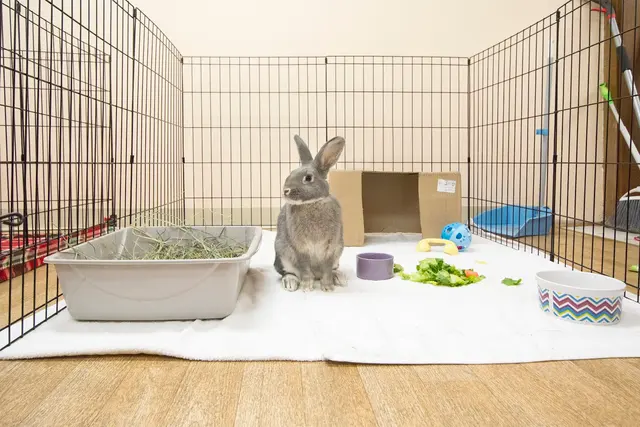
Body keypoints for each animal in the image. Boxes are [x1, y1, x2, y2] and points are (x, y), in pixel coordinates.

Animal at [273, 134, 348, 292]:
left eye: (308, 178)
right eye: (290, 174)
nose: (286, 191)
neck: (312, 202)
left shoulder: (331, 248)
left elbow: (327, 267)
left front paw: (328, 287)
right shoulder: (300, 248)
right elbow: (305, 268)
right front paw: (307, 287)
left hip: (339, 252)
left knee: (332, 269)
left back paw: (339, 278)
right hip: (282, 253)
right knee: (288, 272)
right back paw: (290, 282)